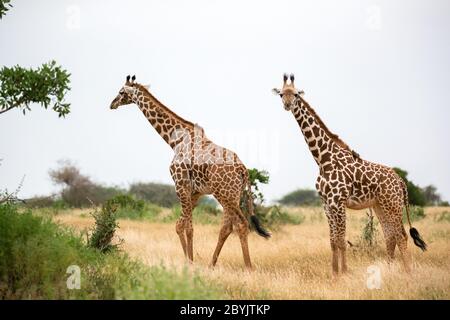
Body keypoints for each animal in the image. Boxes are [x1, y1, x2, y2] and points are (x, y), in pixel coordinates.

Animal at [109, 75, 270, 270]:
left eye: (121, 92)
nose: (112, 104)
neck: (175, 140)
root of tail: (243, 169)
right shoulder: (196, 192)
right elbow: (183, 225)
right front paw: (190, 260)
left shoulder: (180, 184)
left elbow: (185, 227)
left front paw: (189, 263)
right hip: (231, 194)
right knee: (227, 227)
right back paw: (211, 264)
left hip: (225, 194)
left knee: (241, 224)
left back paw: (248, 266)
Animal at [272, 74, 428, 276]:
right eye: (281, 94)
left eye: (297, 94)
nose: (287, 104)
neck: (323, 160)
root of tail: (401, 181)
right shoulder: (326, 204)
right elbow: (332, 241)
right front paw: (334, 273)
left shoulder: (339, 202)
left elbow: (341, 241)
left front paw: (344, 272)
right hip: (380, 205)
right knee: (390, 236)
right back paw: (388, 270)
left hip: (392, 204)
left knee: (400, 235)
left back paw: (408, 272)